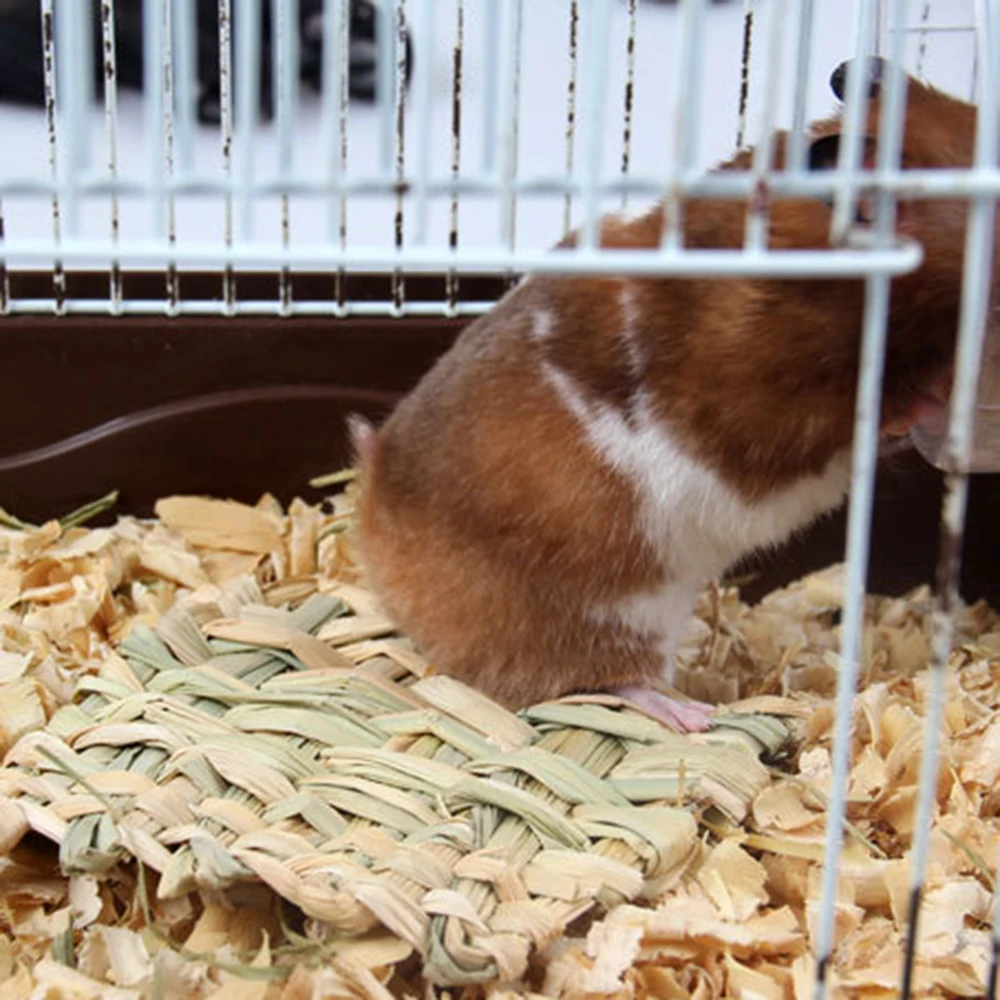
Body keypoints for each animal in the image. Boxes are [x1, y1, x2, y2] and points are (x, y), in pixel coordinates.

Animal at [351, 58, 981, 731]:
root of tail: (377, 523)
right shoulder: (778, 408)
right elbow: (882, 411)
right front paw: (943, 394)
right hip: (610, 611)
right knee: (604, 678)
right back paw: (693, 717)